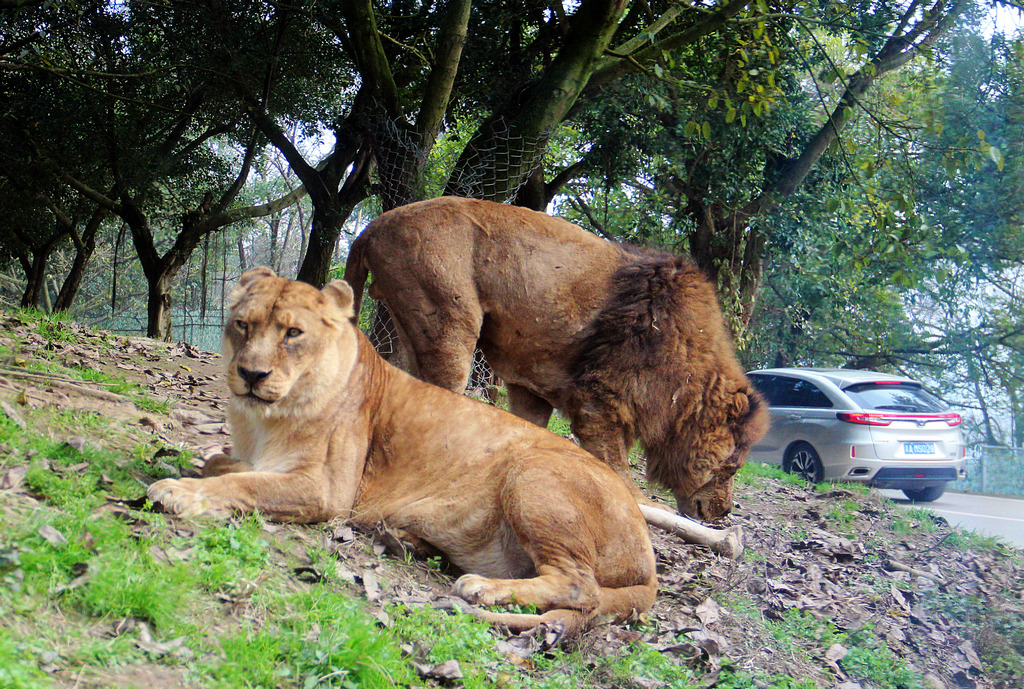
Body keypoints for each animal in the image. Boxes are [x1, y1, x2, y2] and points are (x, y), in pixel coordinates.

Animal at [146, 267, 657, 637]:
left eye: (293, 333)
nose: (251, 375)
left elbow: (246, 483)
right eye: (242, 325)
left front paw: (181, 492)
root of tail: (649, 565)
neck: (264, 420)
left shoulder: (327, 491)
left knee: (581, 586)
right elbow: (220, 461)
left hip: (535, 472)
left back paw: (481, 587)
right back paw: (405, 540)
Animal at [344, 196, 769, 523]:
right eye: (732, 467)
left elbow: (530, 431)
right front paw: (644, 505)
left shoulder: (532, 387)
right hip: (449, 318)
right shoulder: (599, 397)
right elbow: (617, 465)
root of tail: (371, 228)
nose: (725, 512)